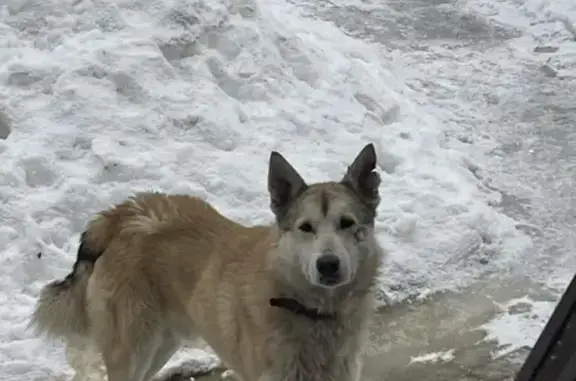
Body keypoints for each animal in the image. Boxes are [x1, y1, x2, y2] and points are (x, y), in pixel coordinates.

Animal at [29, 142, 384, 380]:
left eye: (348, 223)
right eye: (306, 227)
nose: (328, 265)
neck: (311, 311)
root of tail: (124, 214)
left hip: (161, 344)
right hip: (131, 348)